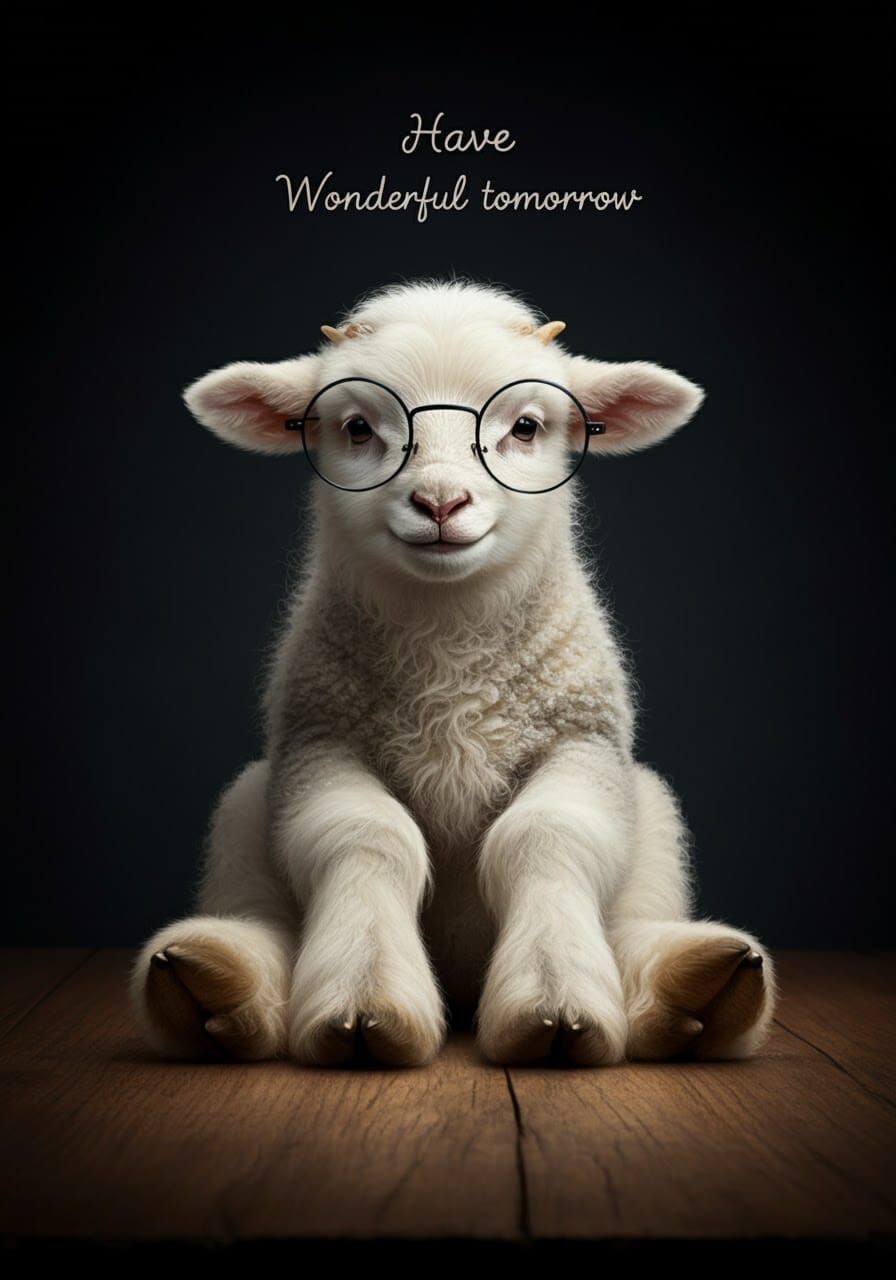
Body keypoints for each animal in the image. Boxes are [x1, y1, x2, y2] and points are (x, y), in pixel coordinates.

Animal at [129, 278, 778, 1068]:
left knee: (638, 911)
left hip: (651, 805)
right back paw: (213, 980)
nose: (440, 502)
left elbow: (547, 832)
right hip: (245, 803)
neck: (450, 655)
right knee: (260, 910)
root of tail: (464, 982)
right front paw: (365, 1001)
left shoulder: (582, 742)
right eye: (356, 428)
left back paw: (697, 986)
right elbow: (366, 833)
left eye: (525, 426)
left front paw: (555, 1002)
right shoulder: (320, 742)